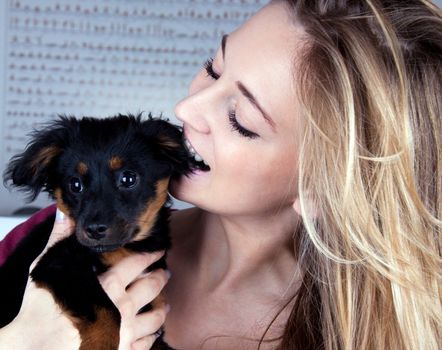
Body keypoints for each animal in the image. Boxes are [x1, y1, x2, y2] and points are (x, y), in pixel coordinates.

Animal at [0, 113, 194, 348]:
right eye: (75, 184)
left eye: (128, 178)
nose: (94, 230)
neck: (124, 249)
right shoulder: (58, 262)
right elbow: (108, 310)